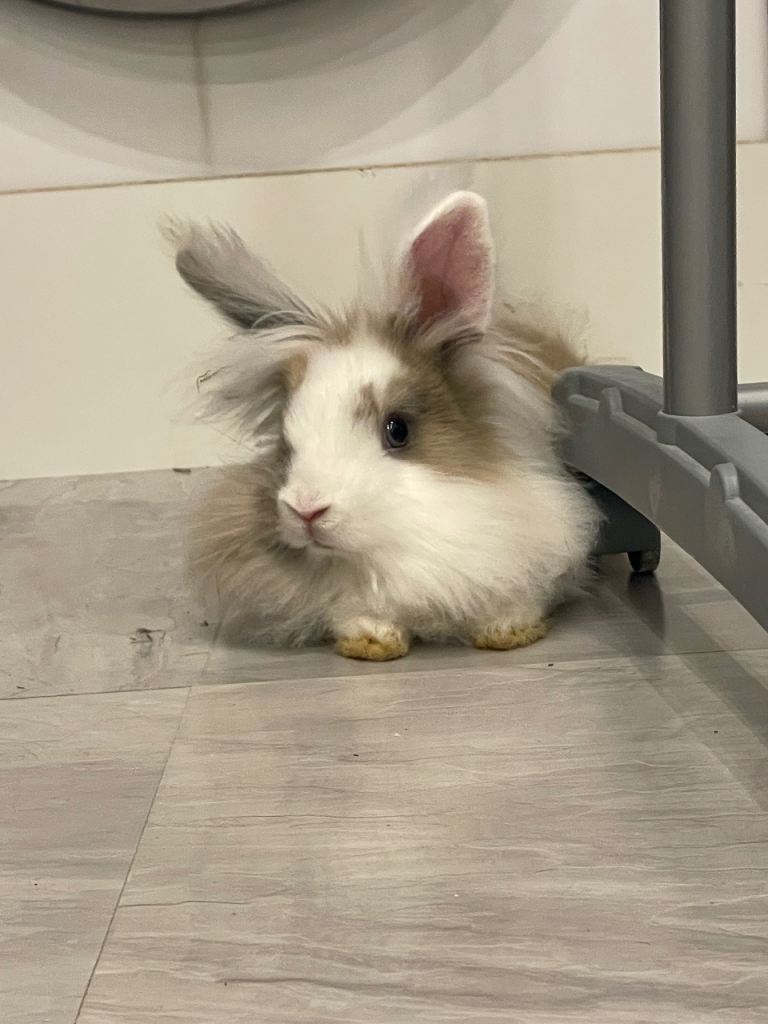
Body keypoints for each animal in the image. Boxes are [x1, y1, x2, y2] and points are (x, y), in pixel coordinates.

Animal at [171, 191, 600, 661]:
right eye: (284, 439)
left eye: (397, 430)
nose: (306, 509)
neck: (396, 552)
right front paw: (371, 642)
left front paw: (506, 631)